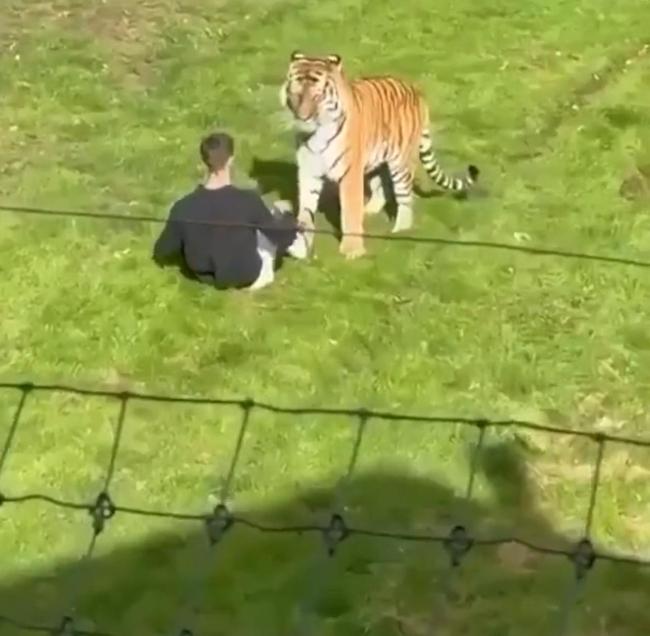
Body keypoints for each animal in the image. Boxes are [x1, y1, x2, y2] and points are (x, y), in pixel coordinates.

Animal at [279, 50, 480, 259]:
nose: (303, 118)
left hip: (400, 163)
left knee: (404, 197)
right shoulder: (308, 172)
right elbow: (305, 211)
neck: (316, 134)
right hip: (378, 159)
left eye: (317, 97)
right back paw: (369, 210)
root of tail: (417, 91)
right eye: (296, 95)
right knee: (381, 185)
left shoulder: (350, 174)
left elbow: (349, 212)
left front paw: (352, 250)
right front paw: (300, 246)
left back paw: (400, 231)